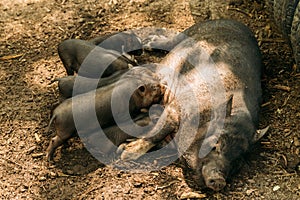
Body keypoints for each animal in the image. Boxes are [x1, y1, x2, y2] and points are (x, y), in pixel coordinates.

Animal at [118, 19, 268, 191]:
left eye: (237, 160)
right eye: (215, 144)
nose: (219, 180)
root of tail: (235, 22)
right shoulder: (177, 107)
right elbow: (158, 132)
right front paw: (124, 153)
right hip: (187, 34)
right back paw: (149, 41)